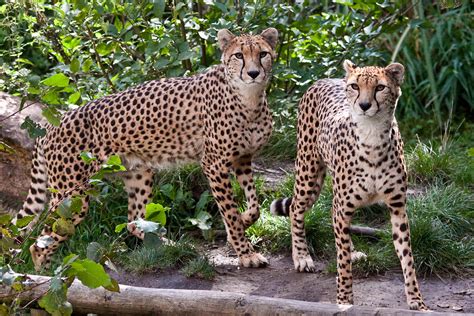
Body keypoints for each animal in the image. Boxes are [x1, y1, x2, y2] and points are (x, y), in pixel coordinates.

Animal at [14, 27, 280, 272]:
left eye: (263, 54)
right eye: (239, 55)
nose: (254, 73)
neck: (249, 99)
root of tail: (52, 124)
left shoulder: (244, 158)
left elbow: (254, 206)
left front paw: (244, 222)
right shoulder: (214, 163)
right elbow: (230, 211)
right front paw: (245, 252)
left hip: (138, 173)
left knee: (133, 221)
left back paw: (170, 245)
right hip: (72, 195)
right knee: (40, 241)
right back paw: (46, 276)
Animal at [270, 60, 430, 310]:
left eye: (380, 87)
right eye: (355, 86)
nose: (364, 105)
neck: (372, 136)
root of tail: (324, 79)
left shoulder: (397, 208)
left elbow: (407, 256)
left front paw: (417, 301)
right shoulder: (343, 206)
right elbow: (342, 263)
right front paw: (344, 300)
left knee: (334, 224)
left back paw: (351, 250)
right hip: (308, 172)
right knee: (297, 208)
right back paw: (302, 256)